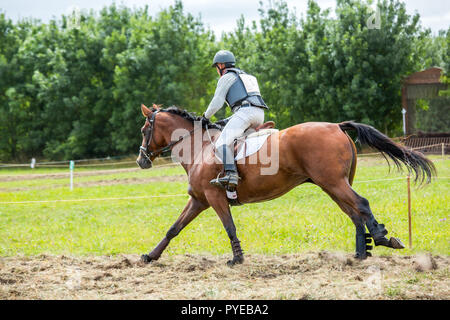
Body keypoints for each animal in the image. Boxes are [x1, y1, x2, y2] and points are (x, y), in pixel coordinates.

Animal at [135, 103, 434, 264]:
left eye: (144, 129)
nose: (141, 160)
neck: (200, 146)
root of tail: (336, 126)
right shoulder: (199, 200)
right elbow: (174, 228)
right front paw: (150, 255)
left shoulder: (214, 196)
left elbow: (229, 227)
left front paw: (237, 259)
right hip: (331, 185)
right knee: (354, 213)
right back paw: (361, 252)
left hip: (333, 183)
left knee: (361, 204)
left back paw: (382, 238)